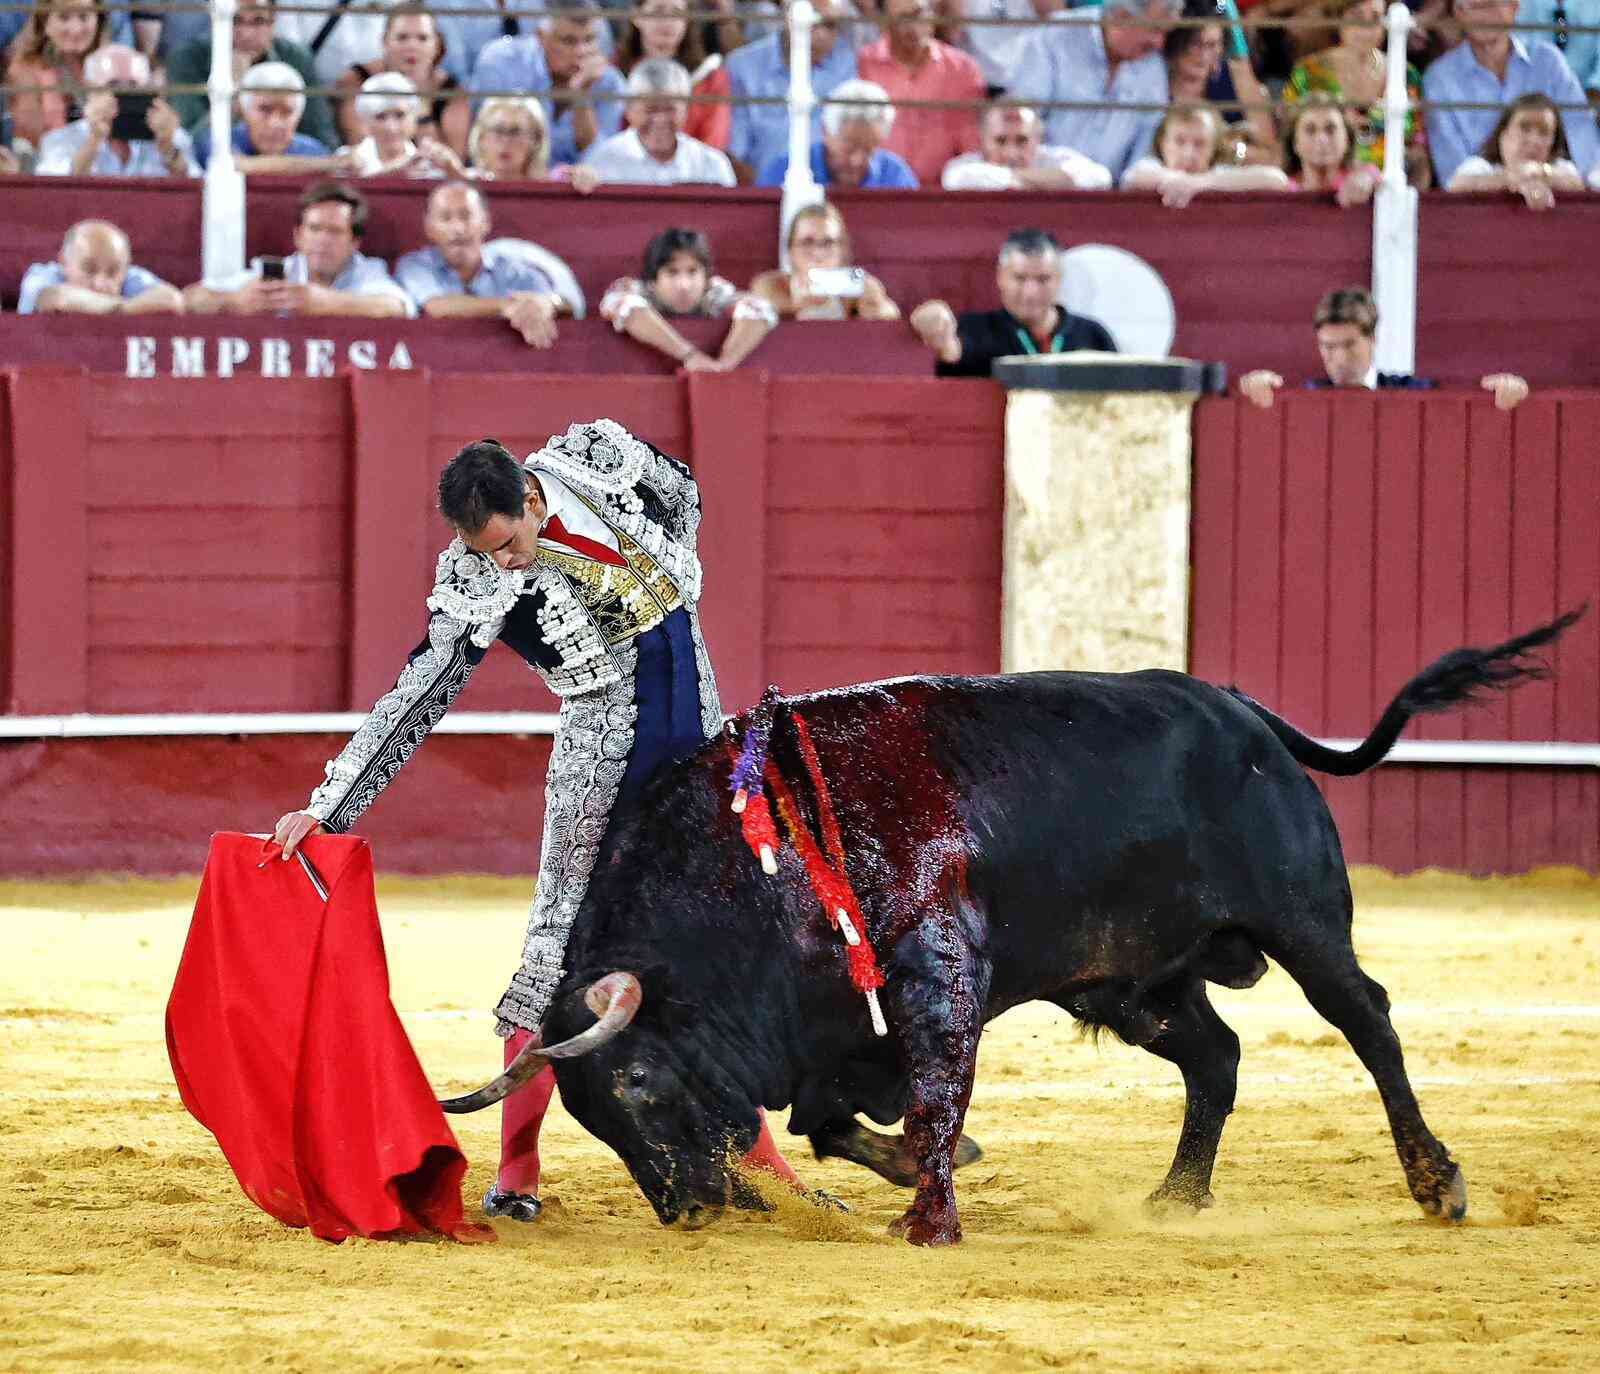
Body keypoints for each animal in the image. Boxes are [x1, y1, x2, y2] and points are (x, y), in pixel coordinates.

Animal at [442, 611, 1582, 1245]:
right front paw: (915, 1175)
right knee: (1215, 1056)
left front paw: (930, 1217)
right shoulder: (835, 1029)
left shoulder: (936, 972)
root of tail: (1243, 713)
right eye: (590, 1111)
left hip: (1301, 919)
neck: (757, 863)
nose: (687, 1208)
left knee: (1368, 1022)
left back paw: (1437, 1183)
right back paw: (1175, 1199)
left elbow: (933, 1093)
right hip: (1133, 980)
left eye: (636, 1080)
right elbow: (831, 1121)